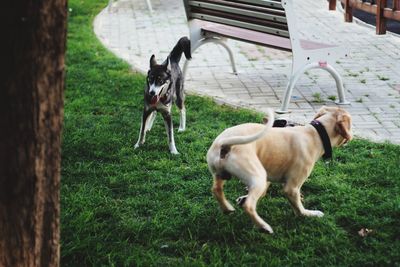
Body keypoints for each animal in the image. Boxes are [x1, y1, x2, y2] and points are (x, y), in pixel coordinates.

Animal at [208, 107, 352, 234]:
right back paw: (263, 227)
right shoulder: (292, 188)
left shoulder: (268, 176)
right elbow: (298, 207)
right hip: (258, 176)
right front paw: (308, 214)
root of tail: (225, 145)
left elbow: (262, 192)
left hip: (221, 174)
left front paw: (243, 197)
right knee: (248, 205)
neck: (315, 133)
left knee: (216, 189)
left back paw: (227, 208)